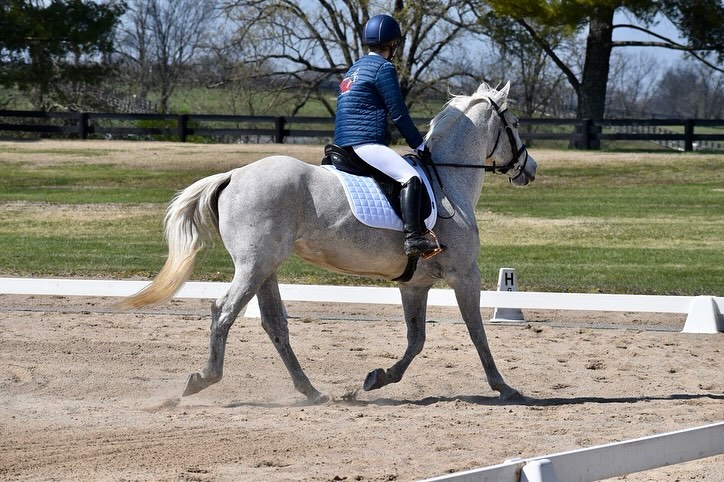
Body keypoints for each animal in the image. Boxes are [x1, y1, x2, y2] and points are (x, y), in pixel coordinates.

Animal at [117, 81, 538, 403]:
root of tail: (234, 174)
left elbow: (416, 339)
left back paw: (312, 391)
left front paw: (377, 378)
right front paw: (504, 387)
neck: (445, 179)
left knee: (275, 325)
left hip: (265, 267)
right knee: (224, 311)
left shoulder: (414, 284)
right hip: (254, 266)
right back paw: (203, 379)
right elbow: (477, 331)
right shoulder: (465, 273)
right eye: (515, 123)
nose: (529, 169)